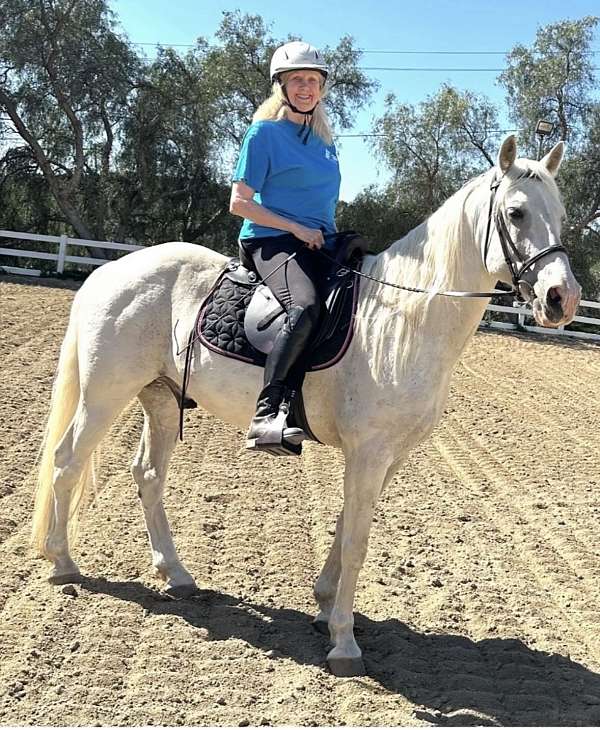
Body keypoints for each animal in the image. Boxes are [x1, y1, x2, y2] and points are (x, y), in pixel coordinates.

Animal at [31, 136, 581, 677]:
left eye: (560, 214)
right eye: (515, 213)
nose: (562, 298)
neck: (406, 320)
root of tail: (111, 269)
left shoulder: (389, 457)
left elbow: (345, 526)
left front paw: (323, 607)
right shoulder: (368, 451)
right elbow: (357, 542)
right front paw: (344, 642)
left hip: (161, 399)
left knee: (147, 475)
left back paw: (177, 574)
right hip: (105, 394)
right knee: (67, 461)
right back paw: (62, 564)